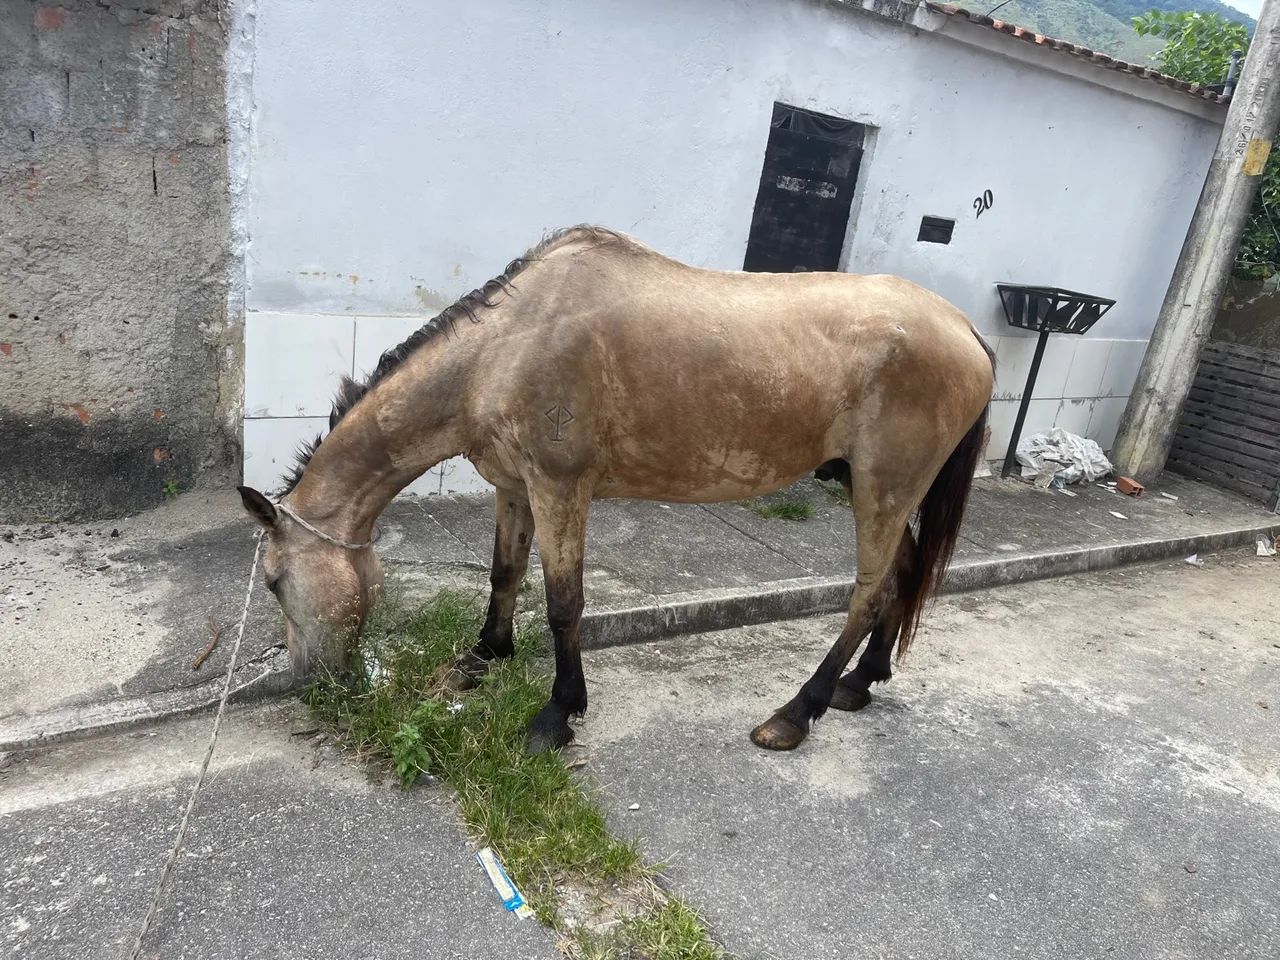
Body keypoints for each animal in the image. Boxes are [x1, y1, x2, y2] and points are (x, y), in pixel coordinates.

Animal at [237, 225, 994, 753]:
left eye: (274, 582)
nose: (309, 682)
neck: (504, 347)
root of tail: (962, 328)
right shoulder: (515, 488)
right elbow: (504, 574)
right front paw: (482, 658)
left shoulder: (559, 489)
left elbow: (564, 603)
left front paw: (557, 713)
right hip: (875, 490)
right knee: (902, 575)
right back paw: (858, 685)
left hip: (883, 491)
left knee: (867, 595)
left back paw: (795, 713)